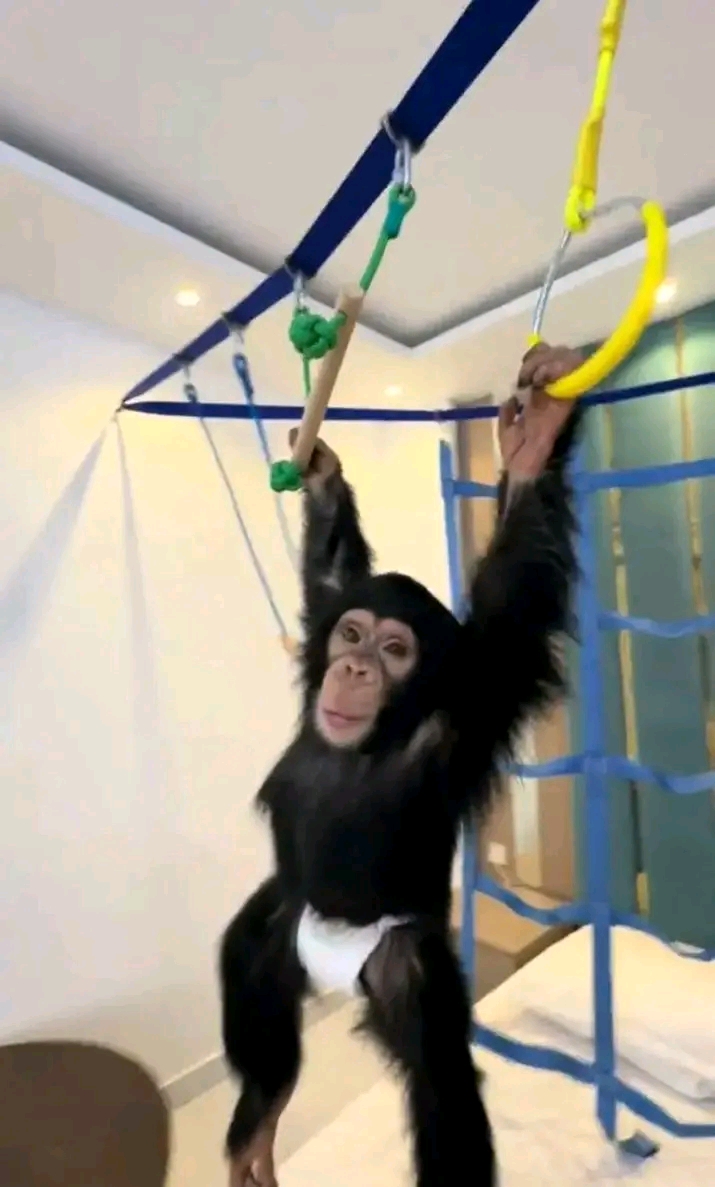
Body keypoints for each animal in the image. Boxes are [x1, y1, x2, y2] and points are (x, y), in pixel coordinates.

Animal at [219, 342, 585, 1187]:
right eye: (352, 634)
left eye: (393, 649)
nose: (353, 669)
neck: (379, 734)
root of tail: (325, 968)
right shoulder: (321, 625)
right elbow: (328, 568)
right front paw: (319, 471)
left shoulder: (479, 691)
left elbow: (513, 593)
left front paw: (532, 445)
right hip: (286, 921)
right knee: (247, 959)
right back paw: (260, 1112)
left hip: (399, 966)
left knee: (440, 1081)